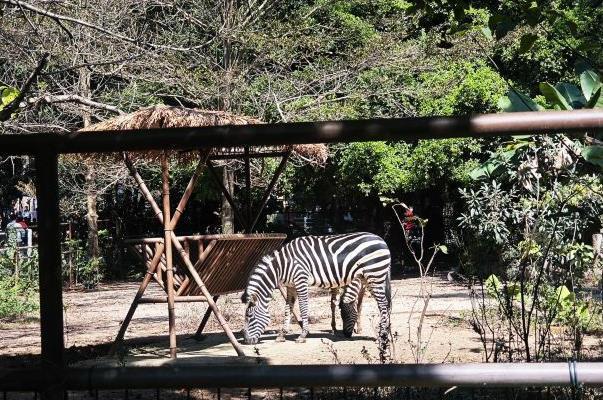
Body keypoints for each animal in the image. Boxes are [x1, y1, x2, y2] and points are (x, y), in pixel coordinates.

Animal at [243, 231, 394, 360]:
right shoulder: (290, 286)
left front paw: (303, 335)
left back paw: (382, 335)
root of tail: (382, 240)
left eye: (249, 317)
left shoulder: (301, 281)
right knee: (384, 304)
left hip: (375, 276)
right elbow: (288, 309)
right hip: (370, 279)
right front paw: (282, 334)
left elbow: (303, 308)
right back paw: (386, 333)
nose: (246, 341)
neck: (282, 266)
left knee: (383, 305)